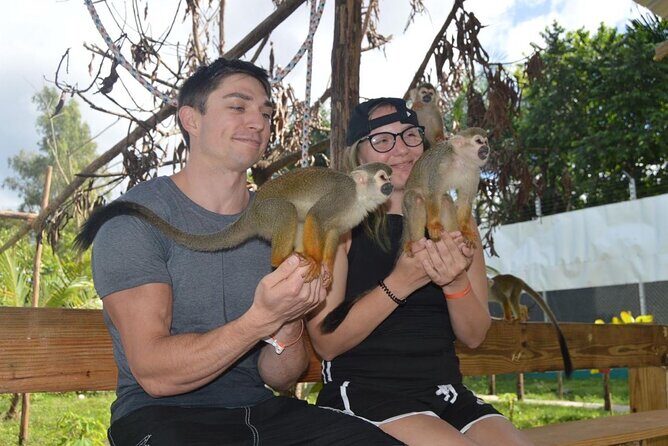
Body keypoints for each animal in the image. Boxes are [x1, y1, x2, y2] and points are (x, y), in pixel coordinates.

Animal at [75, 163, 393, 289]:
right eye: (382, 177)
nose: (391, 185)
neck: (359, 198)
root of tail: (249, 212)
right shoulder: (342, 196)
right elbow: (317, 217)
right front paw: (316, 262)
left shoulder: (349, 217)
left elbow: (333, 232)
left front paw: (327, 268)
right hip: (267, 212)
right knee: (289, 212)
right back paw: (282, 259)